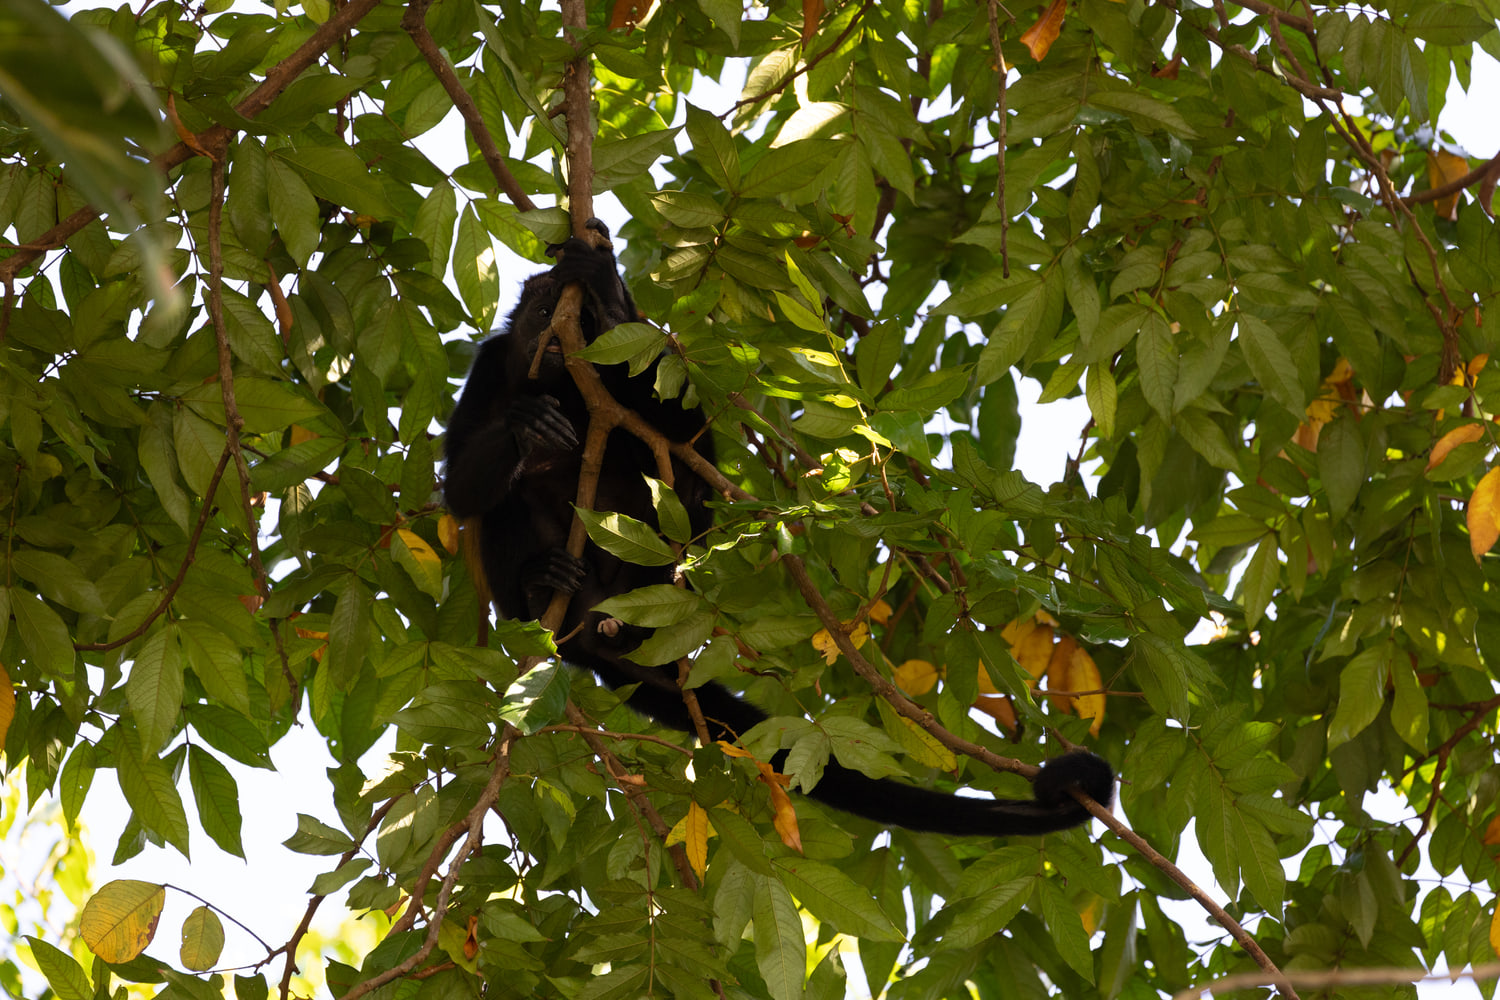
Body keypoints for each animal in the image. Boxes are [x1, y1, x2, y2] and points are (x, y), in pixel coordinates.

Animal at [442, 220, 1113, 836]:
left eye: (578, 321)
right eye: (544, 311)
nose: (556, 335)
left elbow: (682, 434)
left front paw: (608, 295)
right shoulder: (491, 364)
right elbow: (458, 491)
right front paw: (525, 425)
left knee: (674, 483)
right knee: (499, 509)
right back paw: (537, 584)